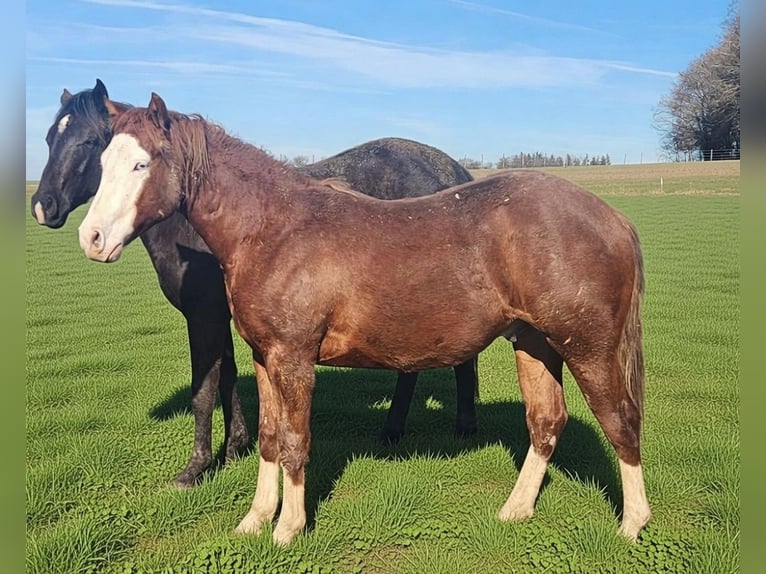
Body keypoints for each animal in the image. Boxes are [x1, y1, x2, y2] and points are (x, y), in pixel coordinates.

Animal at [29, 79, 478, 490]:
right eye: (51, 138)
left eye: (90, 141)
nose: (43, 207)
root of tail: (454, 170)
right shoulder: (228, 319)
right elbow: (227, 375)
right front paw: (236, 448)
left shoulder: (204, 316)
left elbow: (204, 387)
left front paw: (196, 468)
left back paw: (414, 429)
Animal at [78, 92, 651, 546]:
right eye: (103, 160)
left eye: (142, 164)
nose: (92, 239)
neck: (274, 230)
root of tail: (613, 218)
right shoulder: (264, 358)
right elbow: (268, 438)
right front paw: (254, 521)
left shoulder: (294, 359)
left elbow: (295, 443)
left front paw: (287, 529)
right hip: (534, 342)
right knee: (546, 422)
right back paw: (515, 510)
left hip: (588, 347)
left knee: (621, 420)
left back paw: (632, 525)